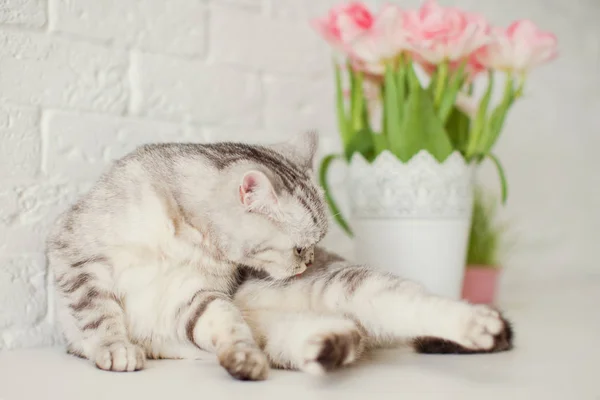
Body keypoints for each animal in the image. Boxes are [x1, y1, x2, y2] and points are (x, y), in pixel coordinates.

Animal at [48, 133, 510, 380]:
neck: (185, 239)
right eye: (300, 247)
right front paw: (116, 348)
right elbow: (99, 314)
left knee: (411, 307)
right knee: (344, 335)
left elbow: (226, 324)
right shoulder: (77, 259)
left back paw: (481, 327)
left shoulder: (194, 298)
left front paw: (242, 356)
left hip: (355, 288)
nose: (306, 263)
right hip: (292, 334)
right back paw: (325, 348)